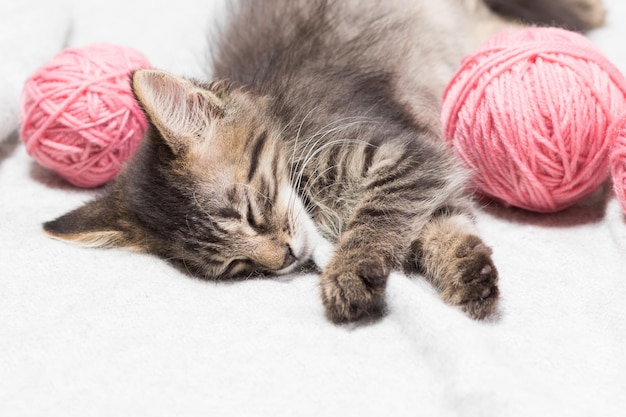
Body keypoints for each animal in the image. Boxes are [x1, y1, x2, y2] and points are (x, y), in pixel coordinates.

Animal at [42, 0, 600, 322]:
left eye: (251, 211)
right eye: (237, 267)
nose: (286, 260)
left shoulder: (405, 152)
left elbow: (376, 217)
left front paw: (349, 273)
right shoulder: (426, 177)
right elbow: (436, 229)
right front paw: (468, 271)